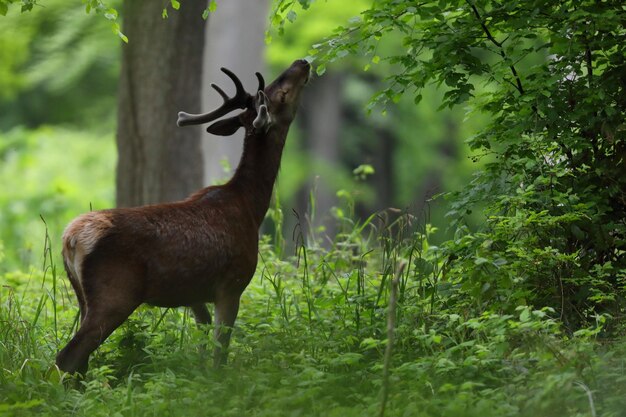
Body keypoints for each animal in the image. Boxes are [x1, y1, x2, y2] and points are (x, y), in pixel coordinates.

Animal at [55, 57, 310, 372]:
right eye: (280, 94)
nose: (302, 62)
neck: (250, 207)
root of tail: (71, 238)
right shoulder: (232, 284)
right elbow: (220, 353)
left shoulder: (194, 295)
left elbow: (202, 343)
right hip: (114, 295)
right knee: (68, 357)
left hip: (81, 296)